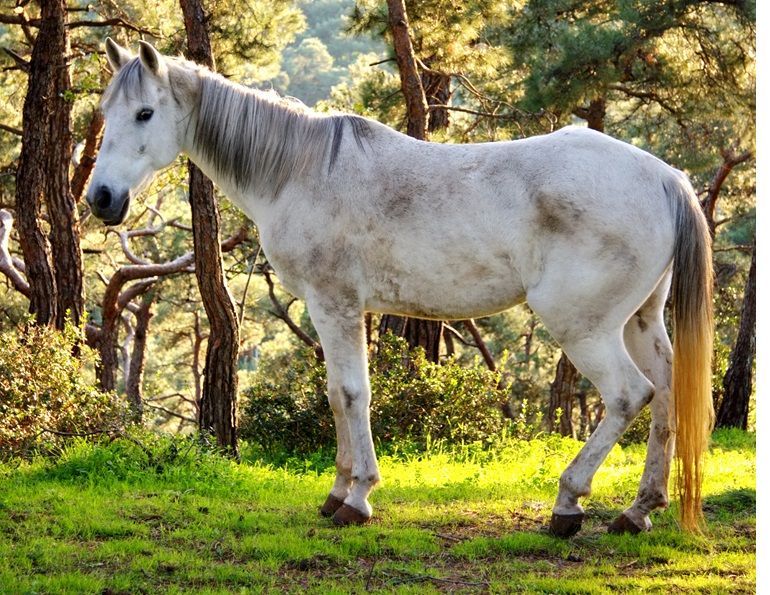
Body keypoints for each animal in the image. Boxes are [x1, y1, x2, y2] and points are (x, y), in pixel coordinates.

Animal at [87, 39, 714, 536]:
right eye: (104, 111)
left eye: (144, 113)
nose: (101, 199)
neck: (300, 169)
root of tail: (666, 178)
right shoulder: (332, 311)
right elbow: (336, 395)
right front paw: (336, 492)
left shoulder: (336, 305)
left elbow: (351, 394)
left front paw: (358, 498)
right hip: (639, 322)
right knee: (667, 396)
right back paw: (637, 511)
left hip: (583, 328)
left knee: (629, 396)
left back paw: (567, 505)